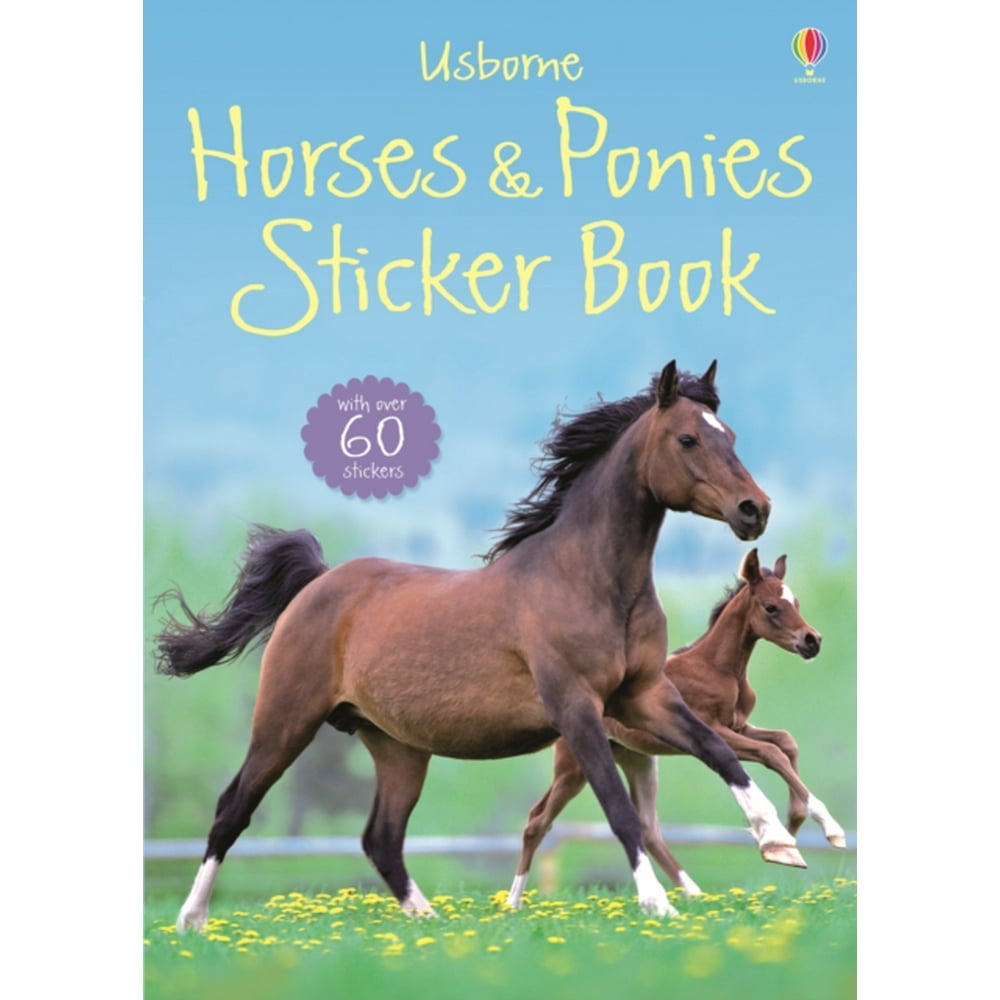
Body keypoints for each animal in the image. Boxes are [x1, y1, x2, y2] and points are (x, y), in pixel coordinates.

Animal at [154, 360, 804, 932]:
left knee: (380, 838)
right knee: (233, 808)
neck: (589, 579)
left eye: (731, 435)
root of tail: (318, 581)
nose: (755, 509)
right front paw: (657, 904)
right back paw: (192, 920)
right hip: (285, 720)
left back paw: (429, 922)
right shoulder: (577, 709)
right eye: (688, 438)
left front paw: (780, 841)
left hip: (397, 747)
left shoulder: (645, 696)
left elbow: (720, 753)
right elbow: (620, 810)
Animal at [506, 547, 847, 908]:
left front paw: (794, 823)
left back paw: (692, 894)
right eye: (771, 606)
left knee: (648, 827)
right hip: (573, 769)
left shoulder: (739, 726)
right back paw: (512, 902)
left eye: (795, 602)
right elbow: (772, 753)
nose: (812, 641)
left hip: (638, 759)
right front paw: (820, 830)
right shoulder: (714, 731)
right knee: (537, 819)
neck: (718, 667)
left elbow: (786, 741)